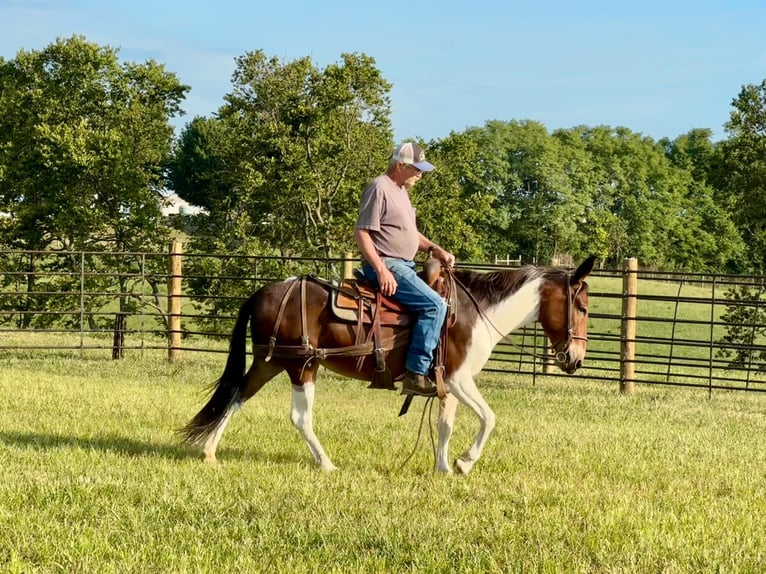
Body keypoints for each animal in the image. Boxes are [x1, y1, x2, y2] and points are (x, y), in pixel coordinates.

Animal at [180, 256, 596, 474]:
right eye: (582, 307)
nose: (575, 359)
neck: (473, 313)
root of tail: (266, 291)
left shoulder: (448, 385)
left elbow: (444, 426)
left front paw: (443, 468)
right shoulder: (460, 380)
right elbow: (489, 418)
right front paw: (464, 462)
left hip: (270, 361)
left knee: (236, 394)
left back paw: (210, 452)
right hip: (302, 366)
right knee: (299, 417)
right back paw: (327, 463)